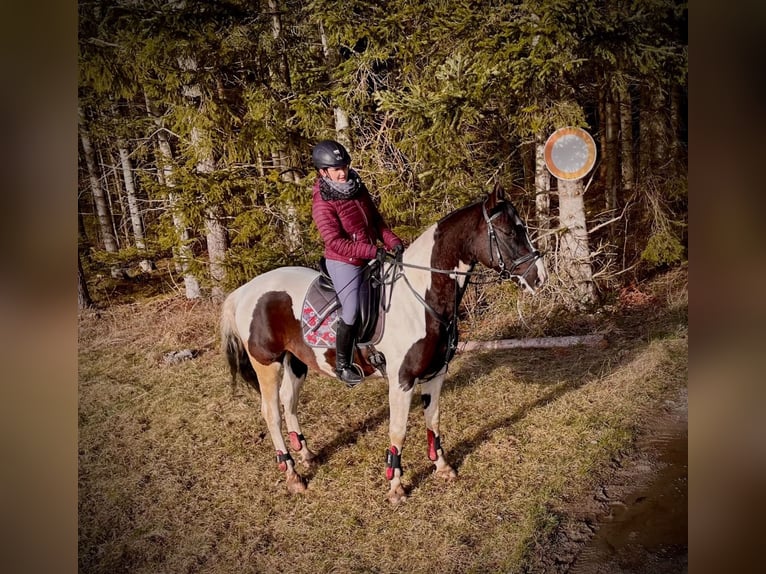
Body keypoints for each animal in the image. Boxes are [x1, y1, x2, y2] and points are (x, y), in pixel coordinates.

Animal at [219, 180, 548, 504]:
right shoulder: (401, 380)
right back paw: (292, 475)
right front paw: (396, 486)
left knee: (289, 401)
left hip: (297, 361)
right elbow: (398, 430)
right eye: (510, 232)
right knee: (271, 413)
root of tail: (245, 290)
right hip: (267, 364)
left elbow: (434, 420)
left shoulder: (435, 373)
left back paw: (306, 455)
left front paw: (442, 467)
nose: (540, 277)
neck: (422, 299)